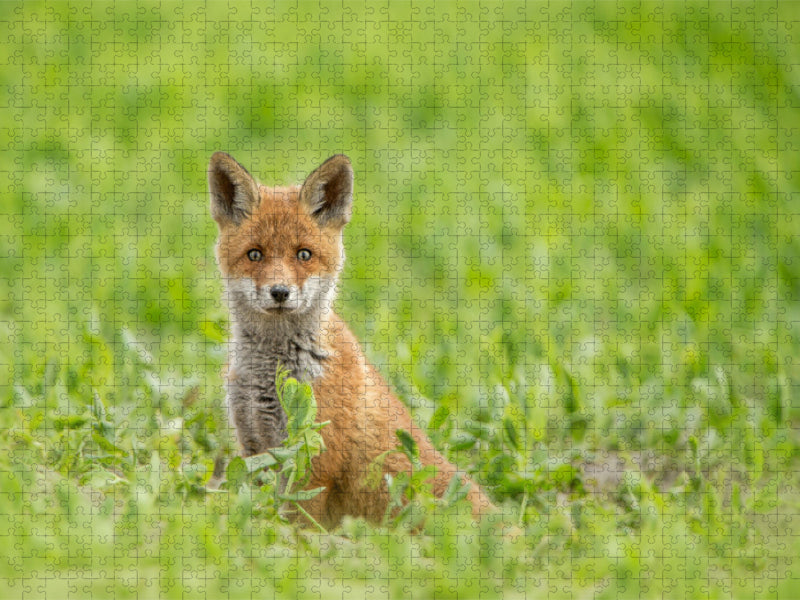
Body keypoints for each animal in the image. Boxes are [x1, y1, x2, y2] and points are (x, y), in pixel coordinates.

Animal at [209, 152, 490, 528]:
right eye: (255, 254)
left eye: (304, 254)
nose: (280, 292)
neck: (270, 369)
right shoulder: (255, 446)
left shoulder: (314, 459)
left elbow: (296, 525)